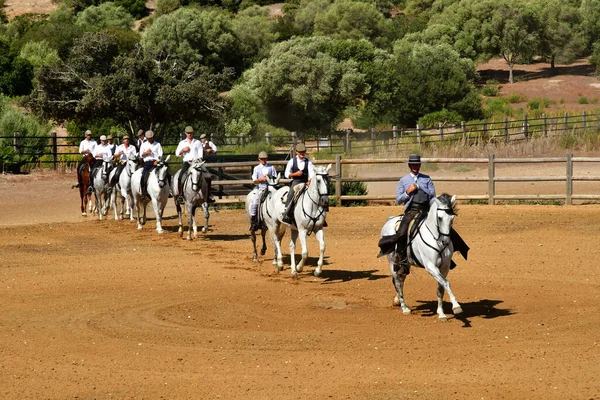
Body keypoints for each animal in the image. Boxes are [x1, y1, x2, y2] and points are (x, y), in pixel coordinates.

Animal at [382, 194, 462, 322]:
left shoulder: (445, 267)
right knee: (398, 282)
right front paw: (456, 306)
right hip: (392, 262)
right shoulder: (431, 267)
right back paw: (404, 308)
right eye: (439, 218)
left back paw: (397, 301)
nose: (445, 241)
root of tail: (390, 220)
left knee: (401, 280)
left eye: (452, 218)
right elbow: (446, 283)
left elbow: (441, 288)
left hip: (405, 265)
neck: (436, 238)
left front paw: (441, 313)